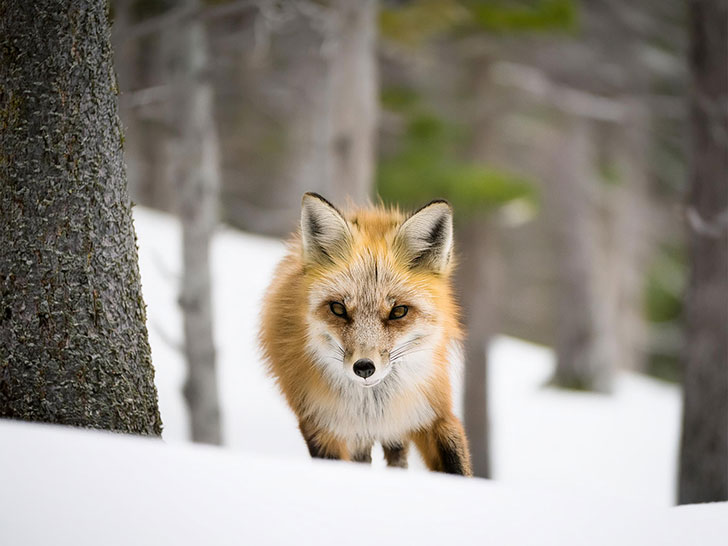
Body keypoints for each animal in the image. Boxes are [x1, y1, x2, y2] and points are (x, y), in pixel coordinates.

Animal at [262, 193, 472, 474]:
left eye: (399, 311)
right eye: (338, 309)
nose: (364, 367)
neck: (373, 408)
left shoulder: (433, 412)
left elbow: (458, 468)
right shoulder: (322, 426)